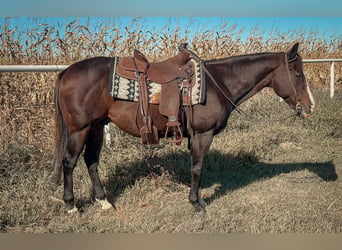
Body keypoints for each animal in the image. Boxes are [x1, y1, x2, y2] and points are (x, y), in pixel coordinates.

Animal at [51, 43, 316, 213]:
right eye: (298, 74)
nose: (310, 106)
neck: (219, 83)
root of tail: (66, 72)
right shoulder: (202, 135)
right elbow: (197, 168)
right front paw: (197, 203)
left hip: (96, 127)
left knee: (91, 161)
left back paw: (104, 201)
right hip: (80, 129)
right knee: (69, 163)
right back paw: (71, 206)